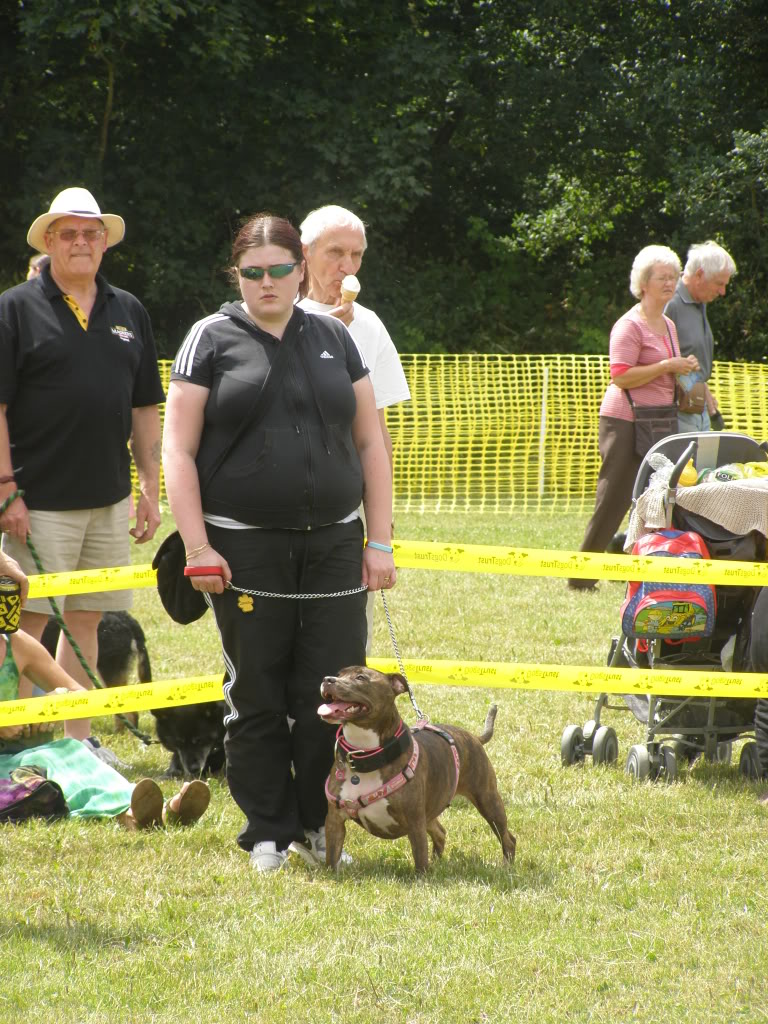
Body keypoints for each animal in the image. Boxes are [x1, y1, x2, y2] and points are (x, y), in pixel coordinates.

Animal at [319, 667, 518, 876]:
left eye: (361, 677)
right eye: (339, 674)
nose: (327, 679)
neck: (364, 753)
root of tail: (474, 737)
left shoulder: (415, 821)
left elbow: (420, 855)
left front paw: (421, 878)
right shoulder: (334, 820)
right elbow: (332, 855)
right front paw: (331, 875)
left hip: (488, 800)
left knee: (507, 837)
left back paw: (507, 867)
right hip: (431, 812)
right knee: (440, 832)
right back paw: (437, 862)